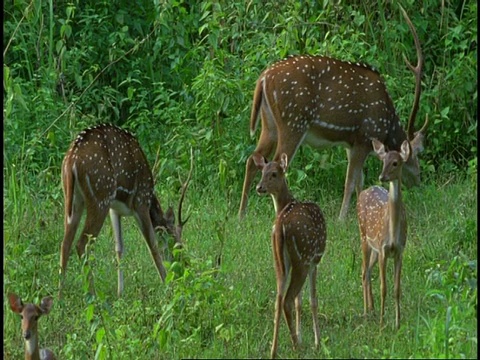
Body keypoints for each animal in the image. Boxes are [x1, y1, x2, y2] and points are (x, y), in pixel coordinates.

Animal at [61, 124, 192, 298]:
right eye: (177, 244)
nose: (186, 266)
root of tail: (71, 161)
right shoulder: (140, 201)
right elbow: (152, 245)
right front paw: (166, 285)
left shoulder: (114, 209)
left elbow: (119, 248)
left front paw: (120, 292)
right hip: (100, 196)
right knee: (82, 244)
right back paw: (92, 295)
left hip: (73, 200)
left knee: (65, 243)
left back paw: (59, 296)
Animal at [238, 5, 430, 221]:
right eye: (414, 156)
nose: (418, 181)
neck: (386, 126)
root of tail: (263, 78)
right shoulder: (364, 137)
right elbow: (350, 181)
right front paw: (341, 218)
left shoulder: (351, 143)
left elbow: (359, 180)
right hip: (293, 121)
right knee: (277, 162)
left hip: (268, 123)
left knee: (253, 159)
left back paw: (241, 215)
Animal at [255, 153, 326, 360]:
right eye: (262, 172)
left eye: (273, 173)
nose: (259, 187)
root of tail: (280, 226)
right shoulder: (315, 261)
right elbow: (312, 300)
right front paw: (317, 343)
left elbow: (299, 303)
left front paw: (303, 337)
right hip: (302, 258)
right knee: (287, 299)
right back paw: (296, 346)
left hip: (279, 260)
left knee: (279, 299)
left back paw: (275, 349)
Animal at [358, 137, 410, 330]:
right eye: (383, 161)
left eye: (395, 163)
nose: (382, 177)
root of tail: (364, 191)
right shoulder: (383, 249)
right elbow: (383, 287)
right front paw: (382, 323)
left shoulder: (399, 250)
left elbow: (396, 289)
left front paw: (398, 323)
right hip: (364, 237)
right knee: (364, 271)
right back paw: (366, 312)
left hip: (374, 247)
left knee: (366, 270)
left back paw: (371, 309)